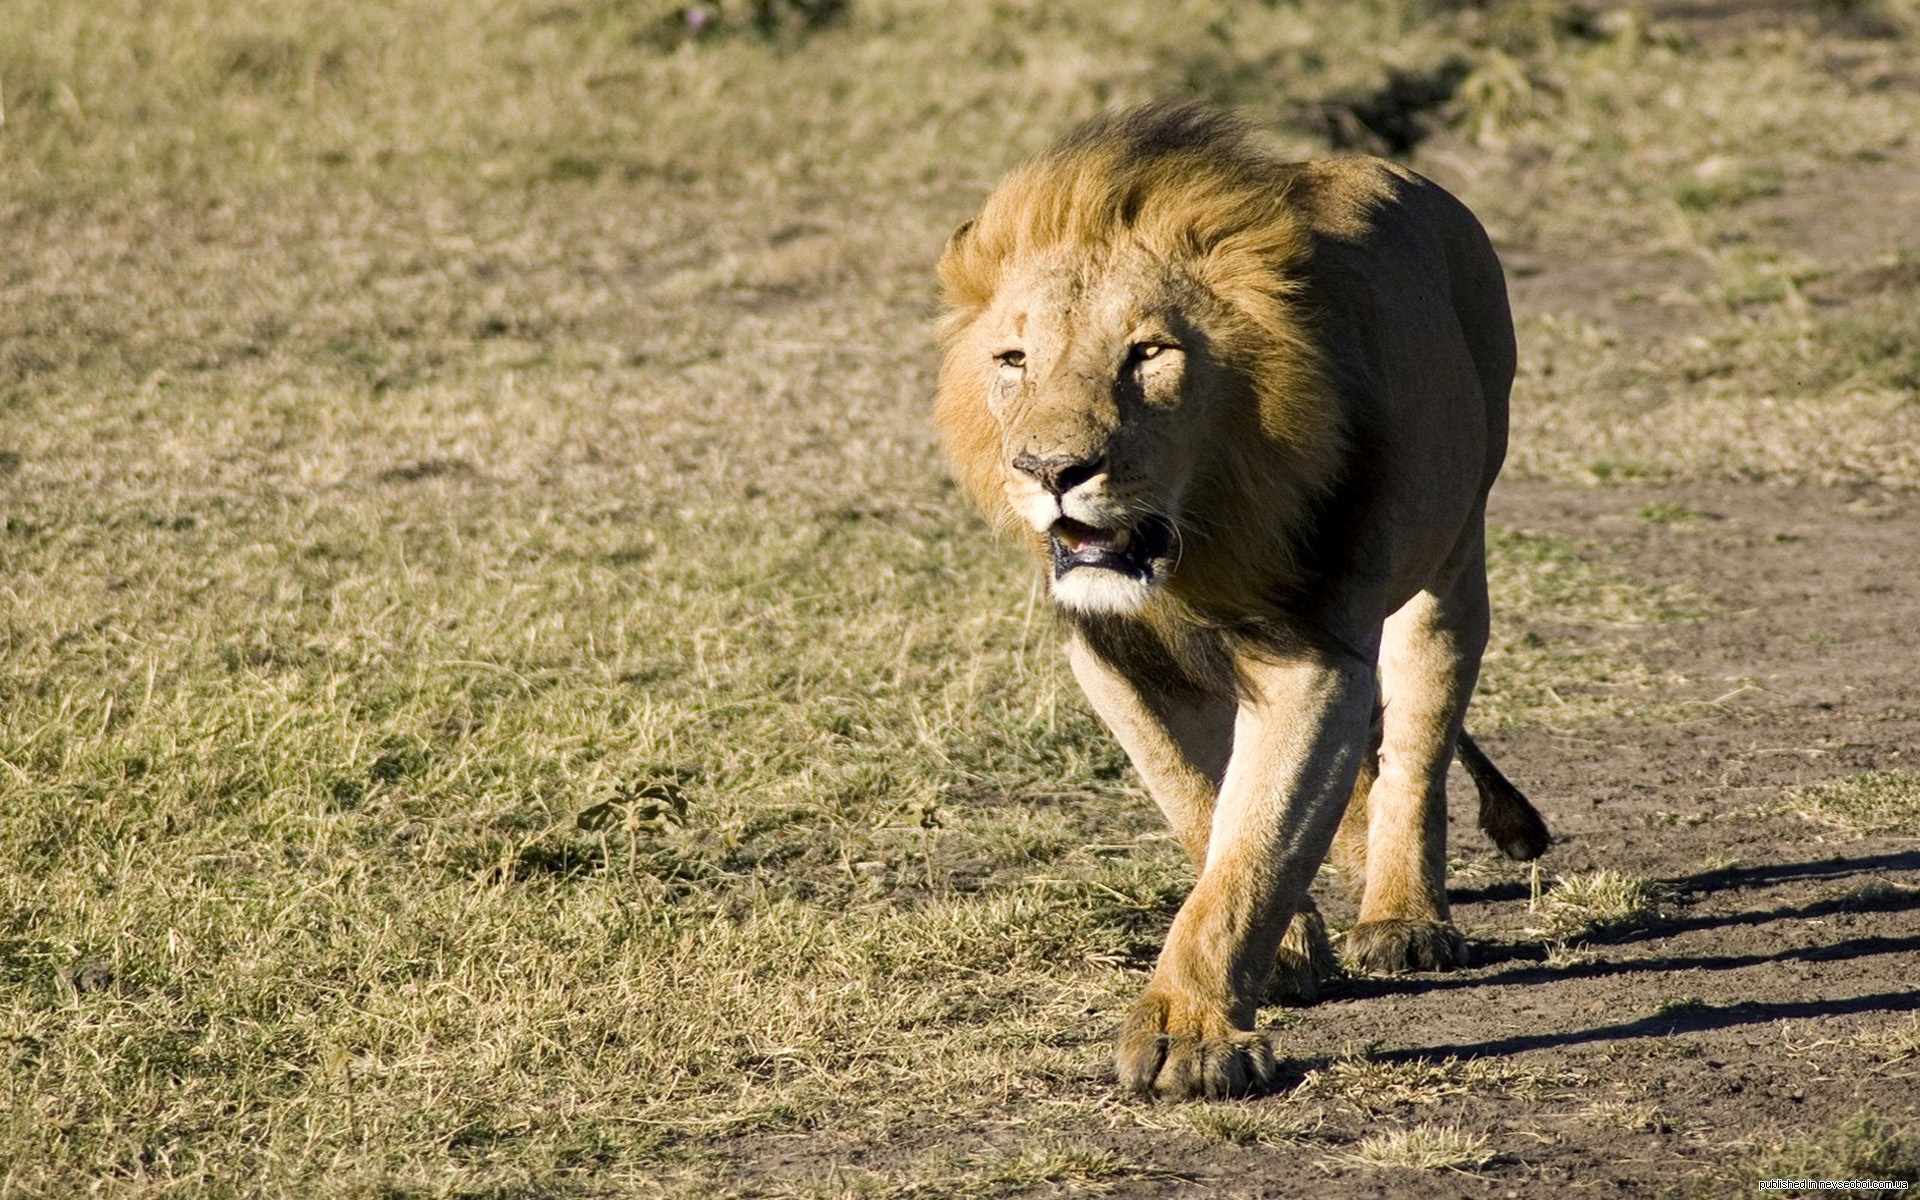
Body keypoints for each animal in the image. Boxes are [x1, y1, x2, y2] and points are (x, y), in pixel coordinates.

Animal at [936, 102, 1551, 1098]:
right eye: (1013, 359)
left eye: (1148, 354)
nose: (1050, 471)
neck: (1190, 550)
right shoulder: (1107, 655)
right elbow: (1198, 801)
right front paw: (1291, 945)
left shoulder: (1313, 654)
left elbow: (1253, 845)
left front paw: (1188, 1037)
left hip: (1450, 556)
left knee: (1417, 742)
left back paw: (1402, 916)